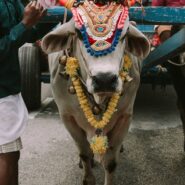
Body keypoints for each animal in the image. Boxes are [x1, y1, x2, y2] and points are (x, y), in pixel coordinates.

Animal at [40, 9, 150, 184]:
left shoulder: (125, 116)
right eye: (79, 33)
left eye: (124, 34)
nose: (104, 79)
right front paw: (88, 177)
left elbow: (110, 162)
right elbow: (84, 152)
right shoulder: (68, 118)